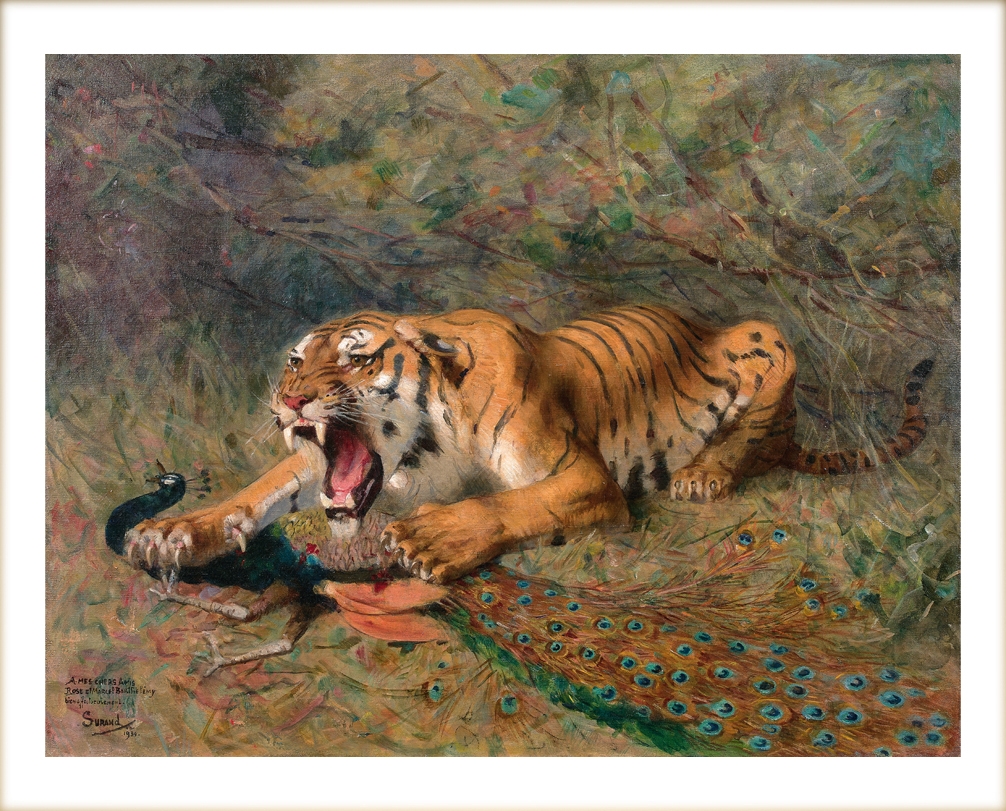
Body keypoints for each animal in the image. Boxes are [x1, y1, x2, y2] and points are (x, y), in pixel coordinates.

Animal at [125, 305, 933, 583]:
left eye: (356, 357)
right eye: (296, 360)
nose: (289, 399)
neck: (421, 456)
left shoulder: (581, 475)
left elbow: (509, 506)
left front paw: (436, 538)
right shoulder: (315, 463)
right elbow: (258, 488)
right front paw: (174, 531)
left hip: (766, 340)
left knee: (757, 435)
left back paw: (704, 473)